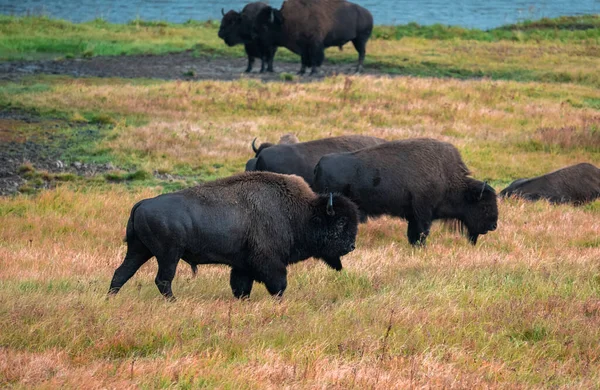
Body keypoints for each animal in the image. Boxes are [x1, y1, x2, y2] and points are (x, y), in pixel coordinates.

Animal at [108, 172, 358, 300]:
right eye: (341, 222)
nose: (351, 246)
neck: (301, 212)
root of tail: (142, 204)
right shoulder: (269, 262)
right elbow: (278, 284)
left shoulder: (242, 265)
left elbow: (241, 286)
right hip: (168, 255)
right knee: (163, 279)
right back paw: (174, 303)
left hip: (140, 250)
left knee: (122, 273)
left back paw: (110, 299)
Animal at [312, 139, 500, 245]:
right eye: (484, 206)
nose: (493, 226)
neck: (449, 179)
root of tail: (319, 163)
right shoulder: (423, 213)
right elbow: (422, 233)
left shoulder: (413, 216)